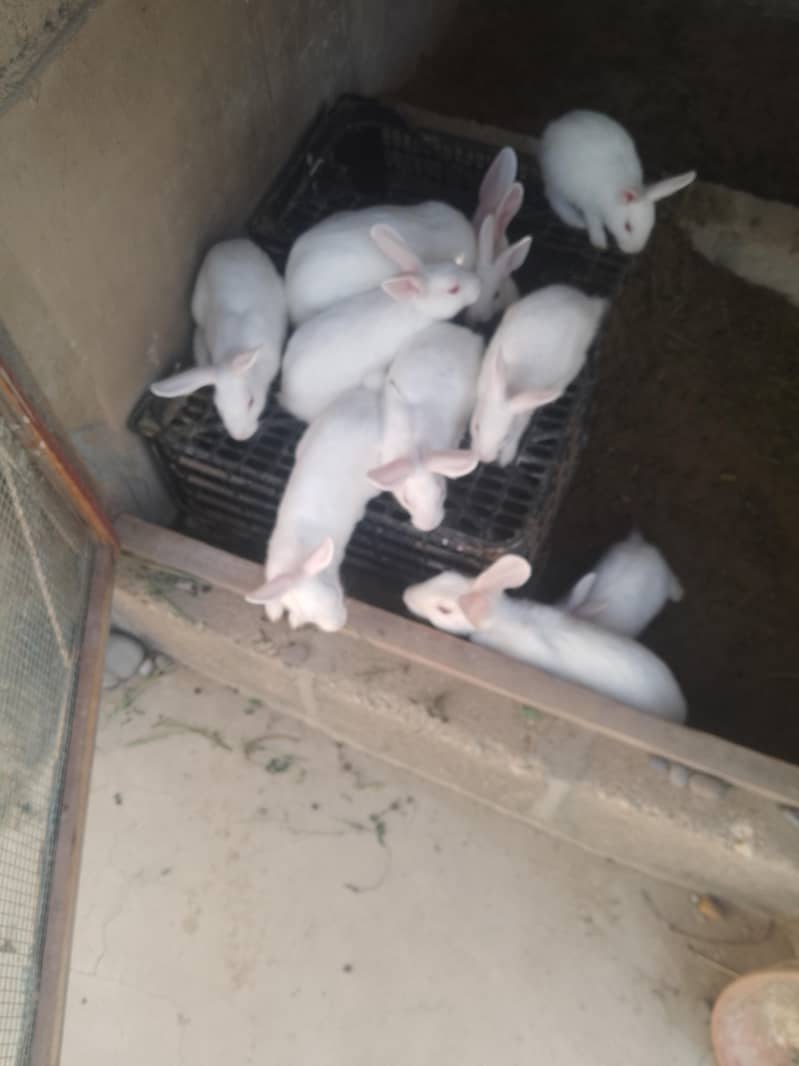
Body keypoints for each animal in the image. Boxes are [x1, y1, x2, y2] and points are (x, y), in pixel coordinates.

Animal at [245, 387, 382, 632]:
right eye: (305, 613)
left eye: (336, 595)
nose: (338, 624)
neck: (298, 556)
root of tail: (370, 398)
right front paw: (275, 613)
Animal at [470, 285, 607, 467]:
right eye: (477, 426)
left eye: (505, 437)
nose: (484, 458)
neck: (511, 389)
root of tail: (588, 304)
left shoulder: (524, 415)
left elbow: (518, 434)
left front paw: (506, 459)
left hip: (574, 361)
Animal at [539, 110, 696, 254]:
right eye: (627, 227)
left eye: (650, 227)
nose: (634, 250)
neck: (612, 198)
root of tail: (555, 125)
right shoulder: (590, 206)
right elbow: (594, 223)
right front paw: (599, 243)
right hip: (558, 181)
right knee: (553, 197)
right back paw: (575, 220)